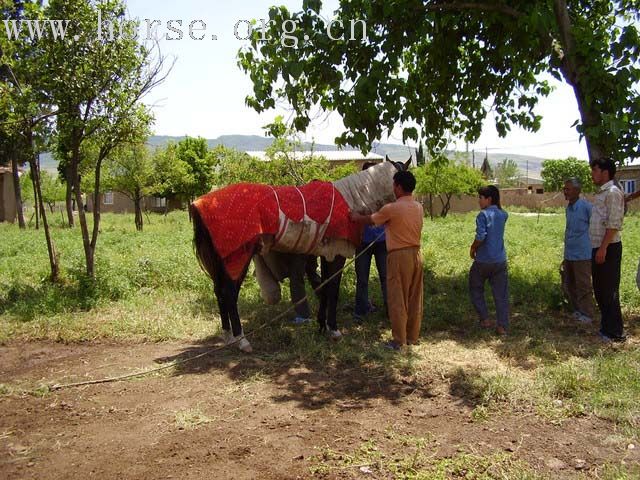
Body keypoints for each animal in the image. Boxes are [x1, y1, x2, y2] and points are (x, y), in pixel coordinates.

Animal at [189, 156, 410, 350]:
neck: (352, 199)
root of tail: (200, 203)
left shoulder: (326, 253)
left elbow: (324, 287)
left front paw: (322, 326)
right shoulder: (338, 253)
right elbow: (333, 290)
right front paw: (334, 329)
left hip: (222, 260)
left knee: (219, 292)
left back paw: (227, 335)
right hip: (237, 257)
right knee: (229, 293)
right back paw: (241, 340)